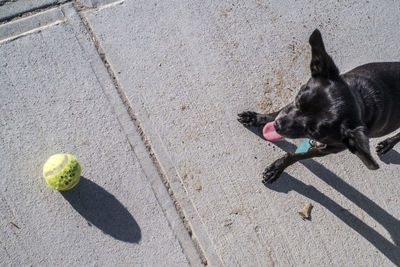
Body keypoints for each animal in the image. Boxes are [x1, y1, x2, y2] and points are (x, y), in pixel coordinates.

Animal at [238, 28, 400, 184]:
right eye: (298, 100)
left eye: (312, 131)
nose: (277, 126)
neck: (360, 99)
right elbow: (276, 113)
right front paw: (256, 118)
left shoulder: (324, 150)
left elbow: (295, 156)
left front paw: (277, 169)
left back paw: (388, 144)